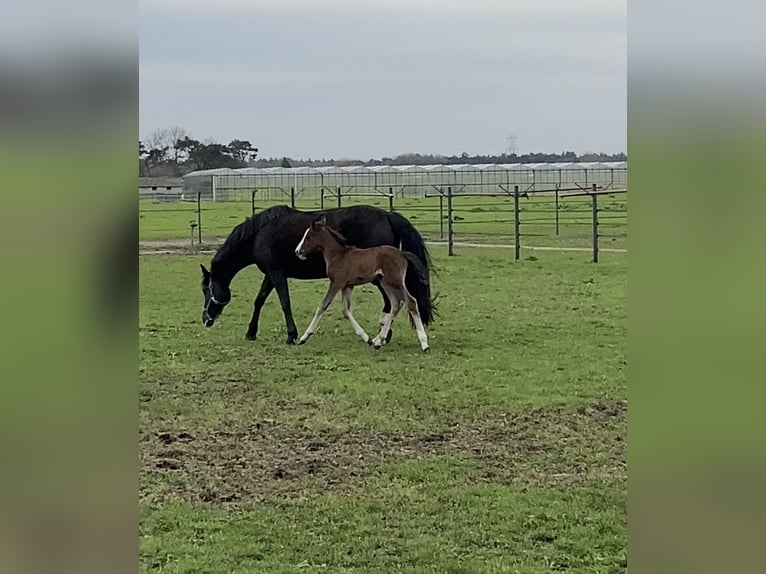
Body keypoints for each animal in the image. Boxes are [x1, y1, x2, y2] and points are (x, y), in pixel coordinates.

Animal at [296, 216, 436, 352]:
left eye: (308, 236)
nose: (297, 251)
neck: (339, 256)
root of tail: (402, 253)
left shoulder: (336, 283)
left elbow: (322, 306)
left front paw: (303, 338)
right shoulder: (348, 285)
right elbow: (346, 310)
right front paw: (367, 338)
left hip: (395, 282)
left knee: (410, 301)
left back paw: (424, 344)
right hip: (385, 283)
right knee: (396, 304)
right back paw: (379, 341)